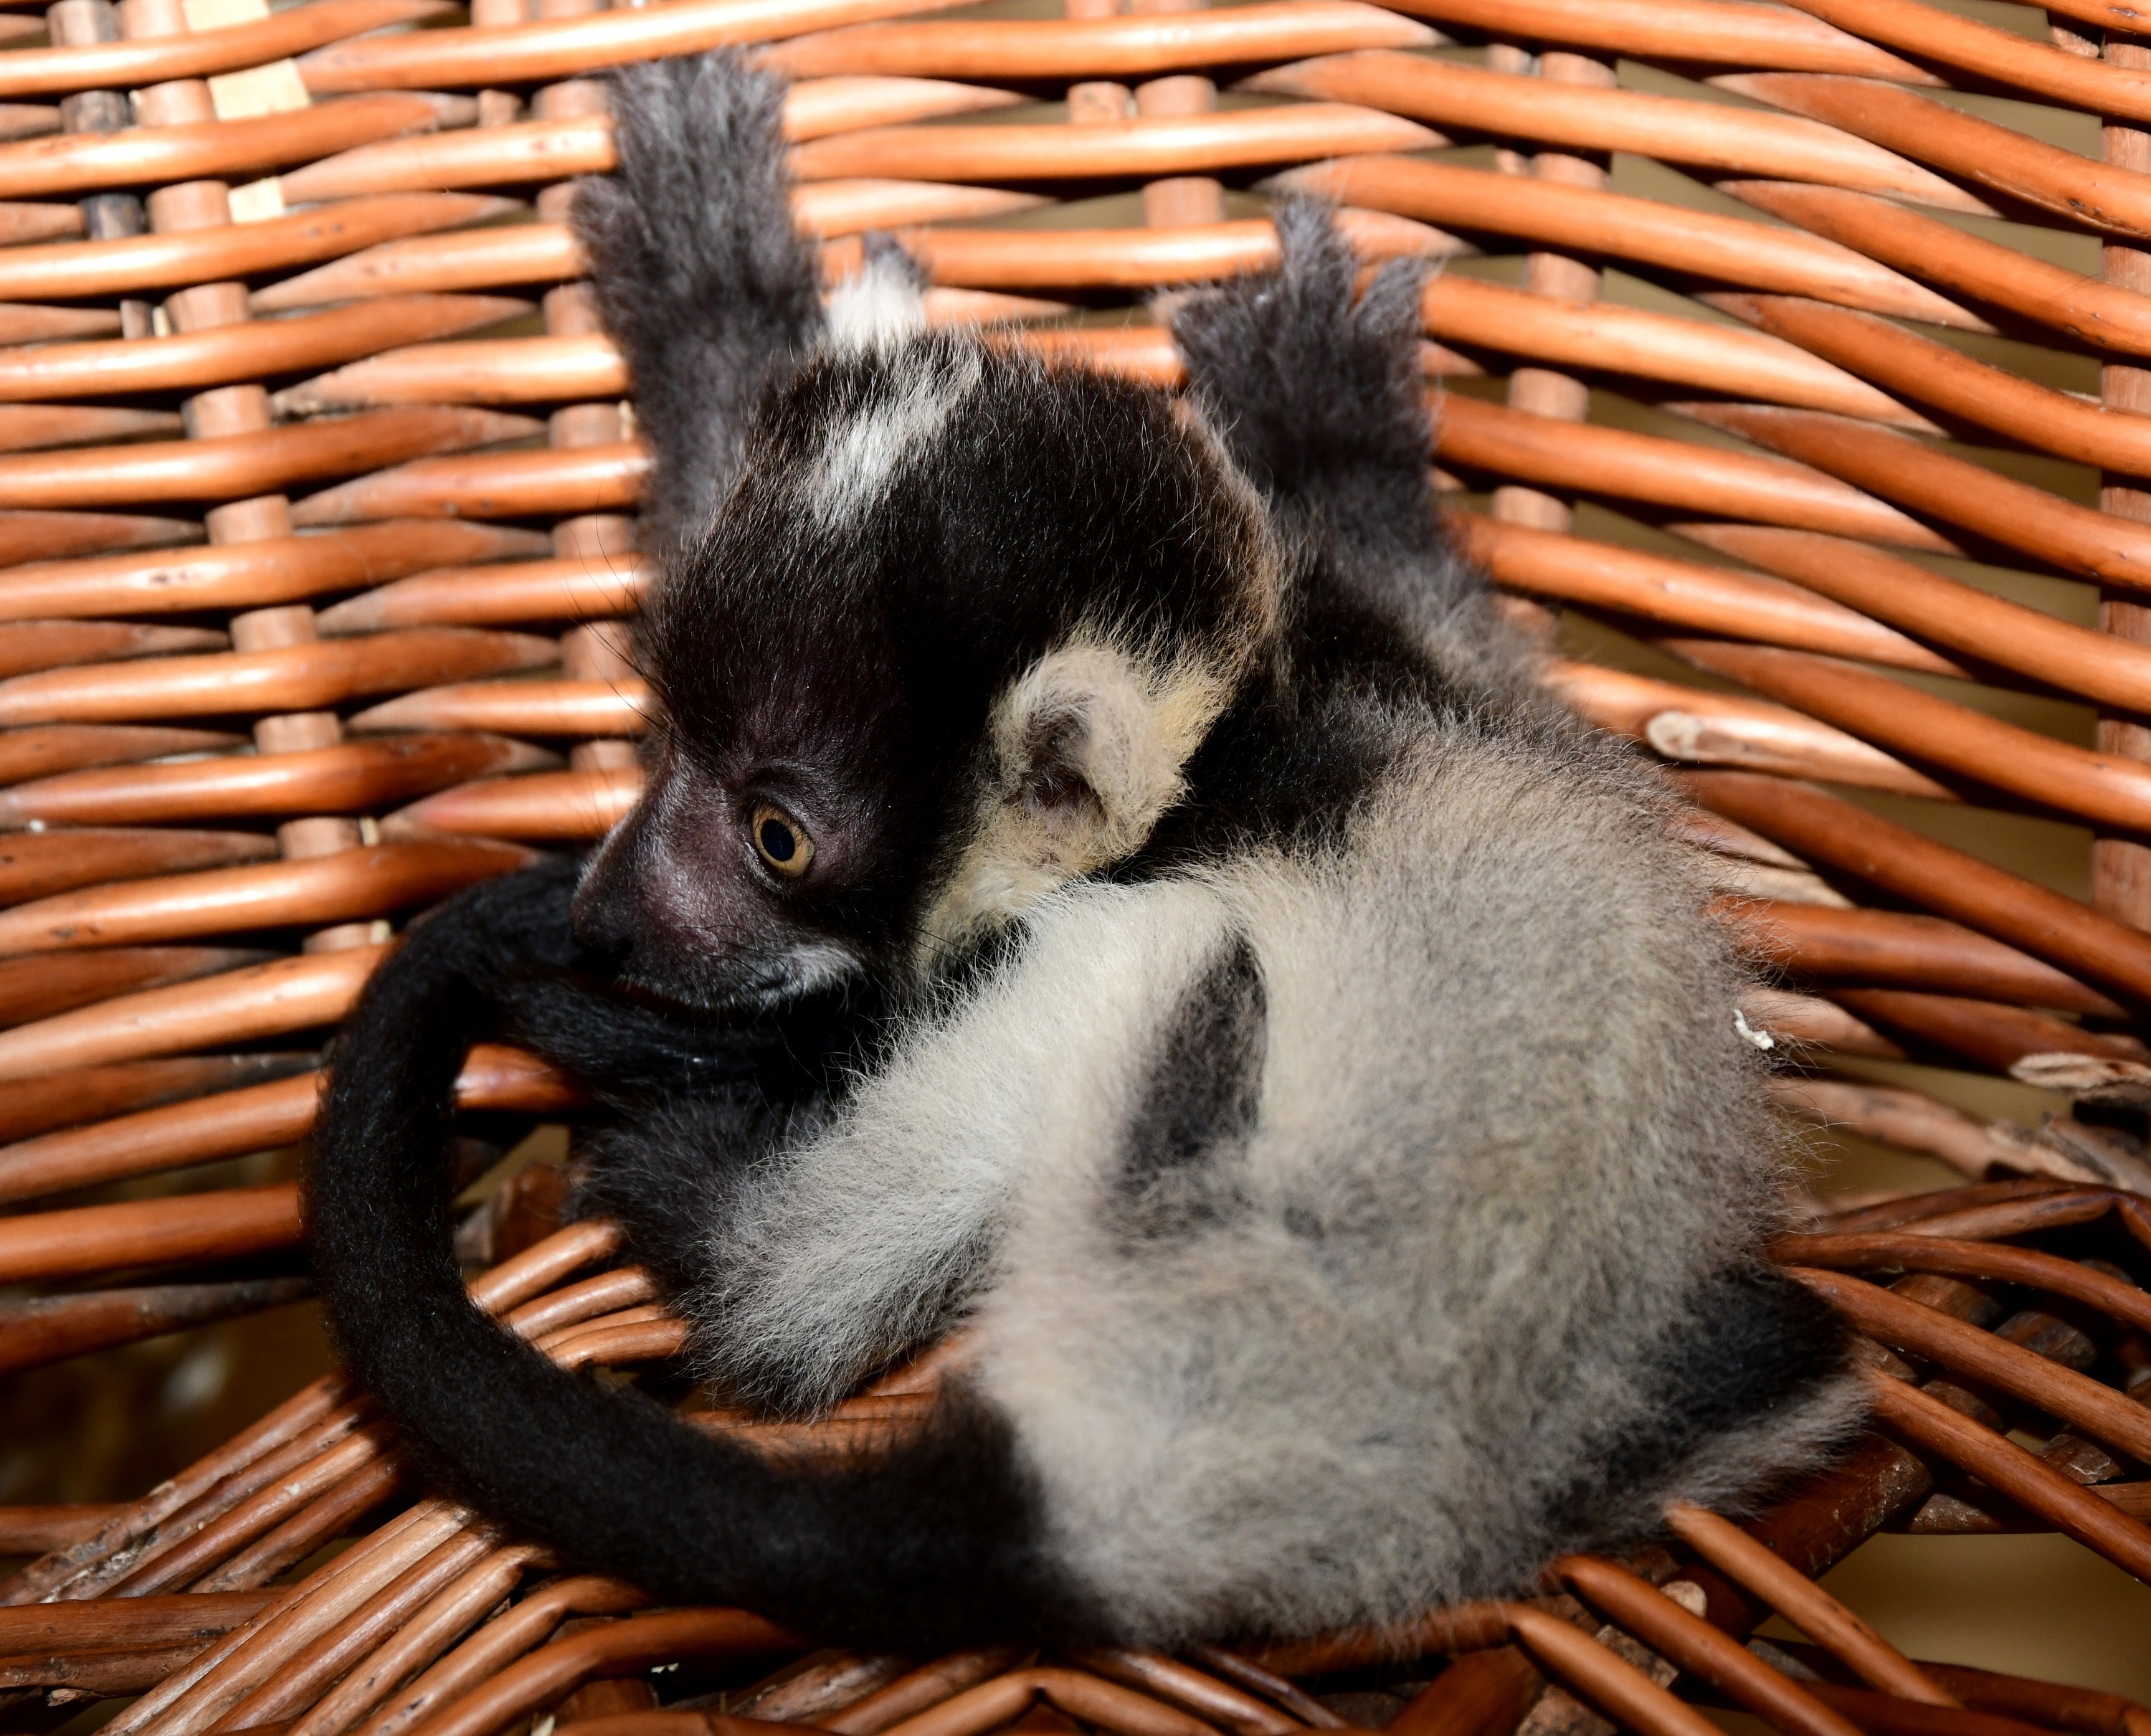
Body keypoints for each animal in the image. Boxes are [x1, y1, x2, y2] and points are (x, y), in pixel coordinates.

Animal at [305, 49, 1860, 1651]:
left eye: (777, 836)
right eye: (666, 735)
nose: (608, 917)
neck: (1233, 733)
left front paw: (712, 307)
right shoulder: (1387, 669)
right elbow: (1488, 667)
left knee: (814, 1269)